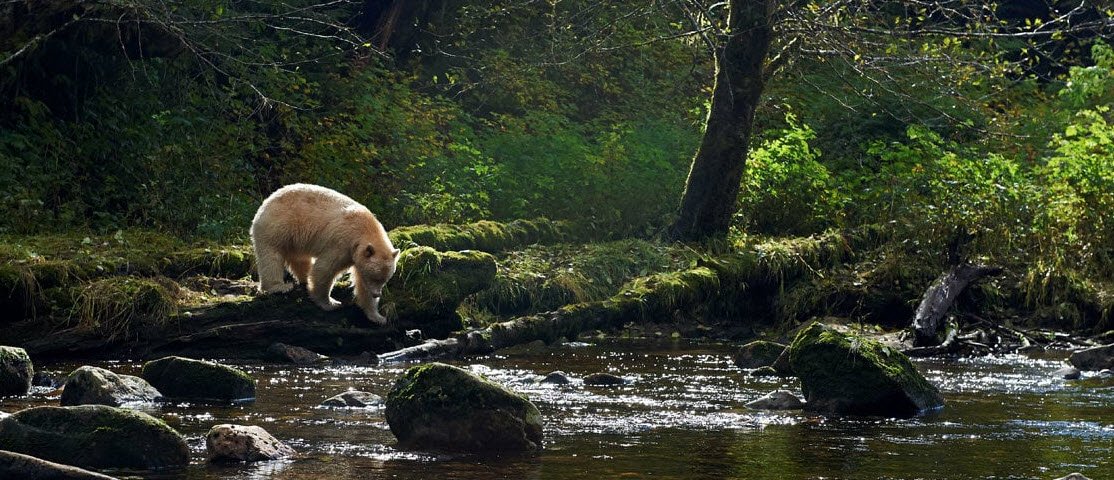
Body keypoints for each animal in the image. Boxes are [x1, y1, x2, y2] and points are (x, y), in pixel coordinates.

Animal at [250, 183, 400, 324]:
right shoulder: (342, 243)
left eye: (385, 279)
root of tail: (267, 201)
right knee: (271, 256)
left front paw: (378, 317)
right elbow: (324, 269)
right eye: (375, 277)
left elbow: (362, 285)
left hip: (295, 236)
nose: (376, 294)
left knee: (299, 258)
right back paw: (279, 287)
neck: (365, 229)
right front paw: (331, 303)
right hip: (278, 225)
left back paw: (304, 278)